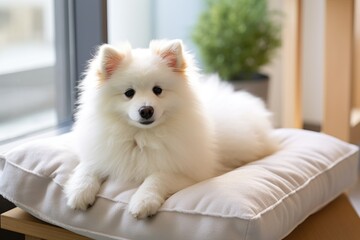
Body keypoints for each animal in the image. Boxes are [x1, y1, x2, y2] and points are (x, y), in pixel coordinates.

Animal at [64, 39, 278, 219]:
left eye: (157, 90)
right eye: (129, 93)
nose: (146, 110)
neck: (141, 138)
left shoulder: (188, 173)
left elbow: (157, 177)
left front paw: (143, 201)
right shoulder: (102, 153)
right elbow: (86, 168)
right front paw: (79, 192)